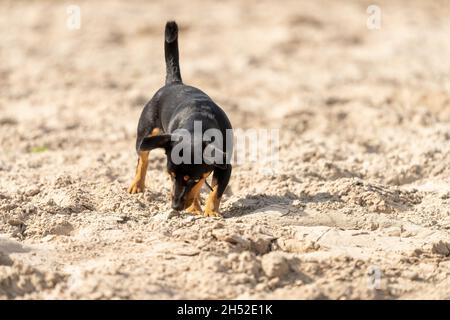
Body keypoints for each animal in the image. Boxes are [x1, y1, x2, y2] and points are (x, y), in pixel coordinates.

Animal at [126, 20, 232, 218]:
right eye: (171, 176)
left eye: (192, 179)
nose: (175, 207)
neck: (198, 124)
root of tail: (174, 83)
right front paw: (195, 208)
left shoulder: (225, 165)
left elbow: (215, 190)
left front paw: (210, 211)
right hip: (145, 134)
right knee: (142, 159)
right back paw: (137, 185)